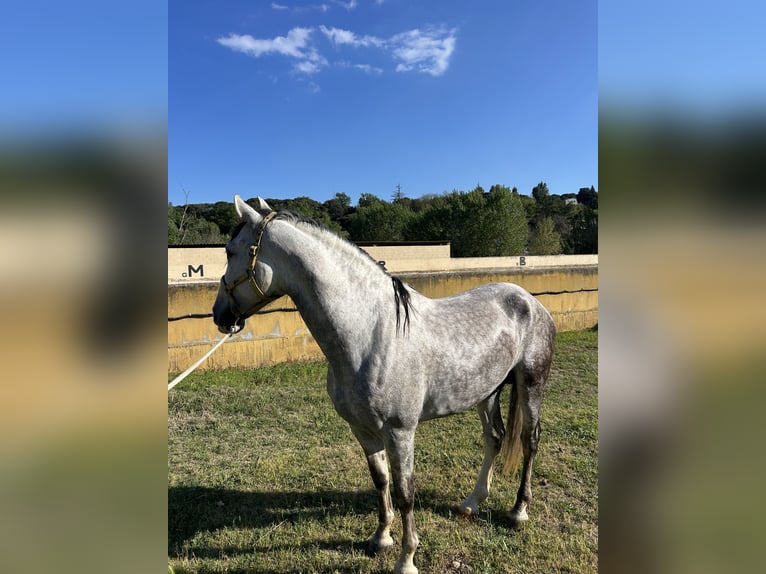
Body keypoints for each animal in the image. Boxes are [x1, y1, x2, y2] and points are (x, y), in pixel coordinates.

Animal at [213, 195, 556, 574]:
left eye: (229, 251)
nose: (219, 315)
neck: (371, 335)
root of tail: (529, 300)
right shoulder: (363, 430)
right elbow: (381, 482)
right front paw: (381, 539)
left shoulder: (400, 431)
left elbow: (405, 493)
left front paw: (407, 559)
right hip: (487, 391)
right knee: (494, 437)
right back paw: (472, 502)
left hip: (531, 384)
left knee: (529, 440)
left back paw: (518, 511)